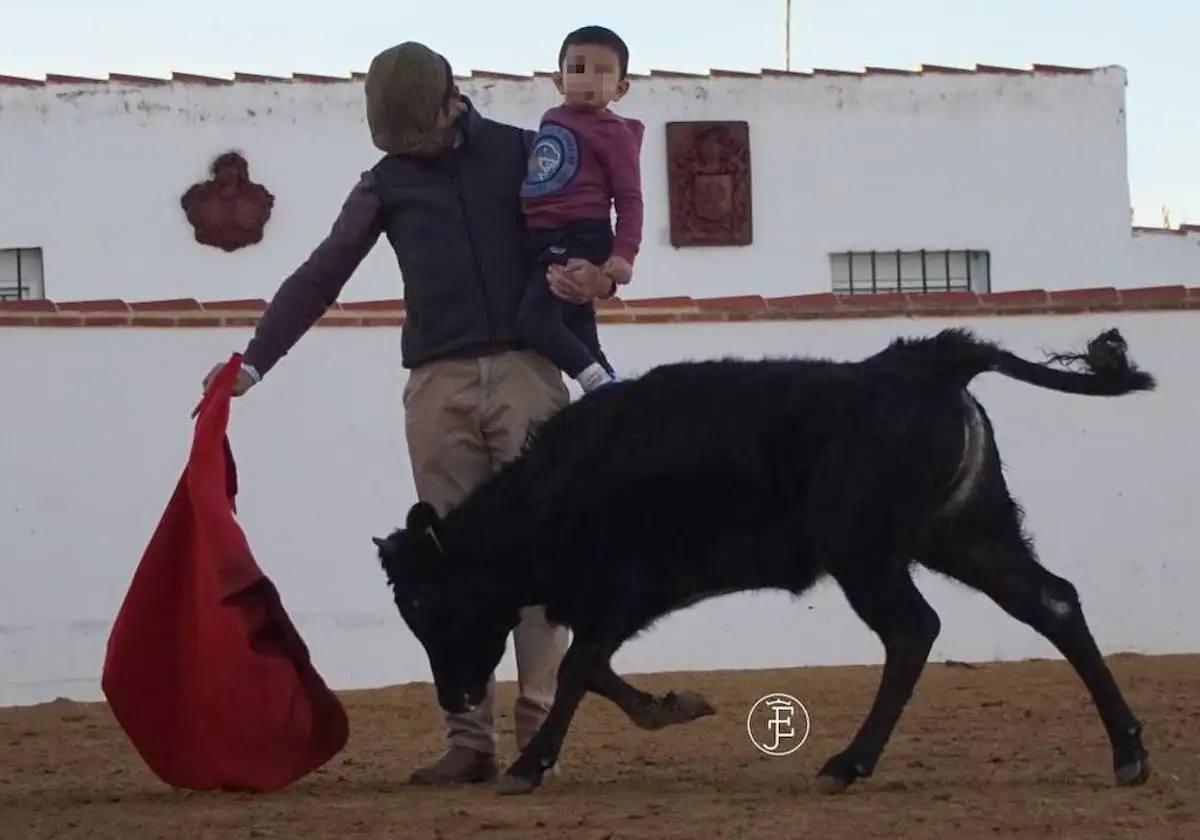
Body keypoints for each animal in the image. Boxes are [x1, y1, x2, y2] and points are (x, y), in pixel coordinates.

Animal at [372, 328, 1152, 792]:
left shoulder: (624, 588)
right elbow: (593, 669)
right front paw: (671, 707)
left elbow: (577, 668)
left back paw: (849, 762)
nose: (454, 697)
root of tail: (924, 362)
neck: (566, 479)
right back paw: (1128, 751)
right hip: (966, 535)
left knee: (913, 631)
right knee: (1051, 602)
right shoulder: (619, 599)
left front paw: (531, 765)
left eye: (428, 603)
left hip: (866, 553)